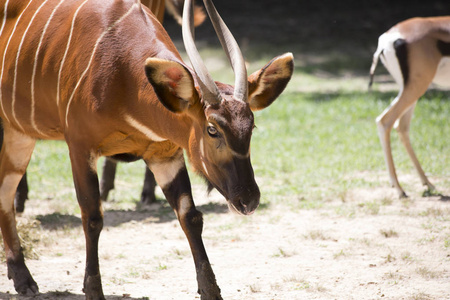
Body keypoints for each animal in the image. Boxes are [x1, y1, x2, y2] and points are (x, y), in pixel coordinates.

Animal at [0, 0, 294, 298]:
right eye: (212, 129)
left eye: (251, 126)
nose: (248, 200)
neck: (122, 77)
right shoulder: (80, 147)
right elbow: (92, 218)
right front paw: (93, 290)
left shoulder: (165, 155)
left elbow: (190, 216)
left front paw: (211, 291)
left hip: (20, 134)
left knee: (5, 190)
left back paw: (22, 277)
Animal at [370, 16, 450, 199]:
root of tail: (388, 38)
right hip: (417, 86)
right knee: (386, 121)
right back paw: (400, 189)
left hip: (408, 88)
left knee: (401, 125)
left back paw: (427, 183)